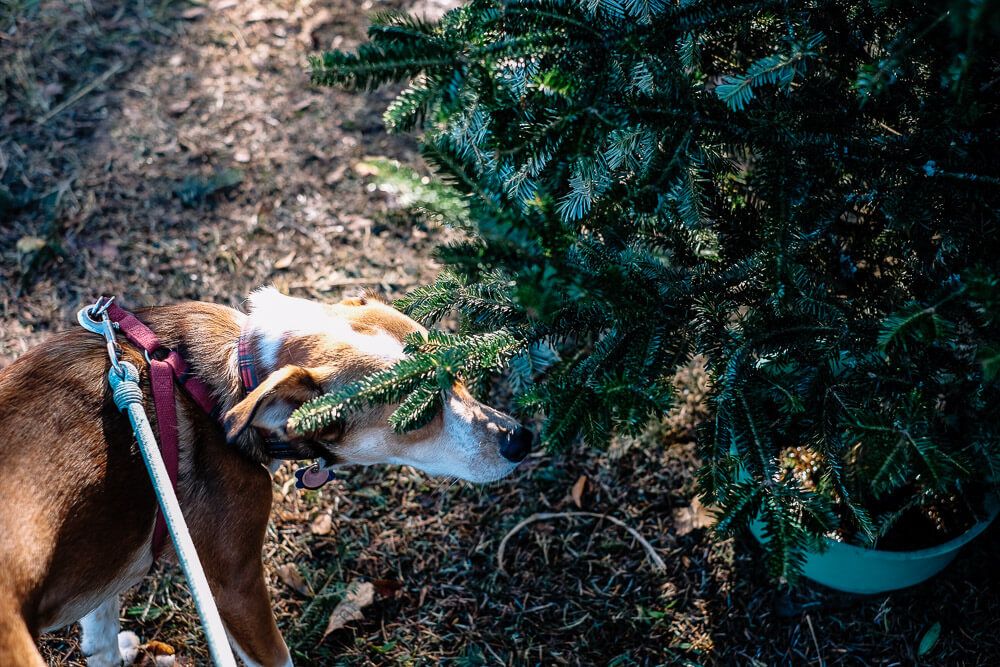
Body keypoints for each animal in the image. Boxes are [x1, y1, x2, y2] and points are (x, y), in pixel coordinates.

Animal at [0, 290, 532, 667]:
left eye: (454, 371)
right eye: (418, 414)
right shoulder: (234, 585)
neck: (235, 377)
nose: (520, 439)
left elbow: (102, 625)